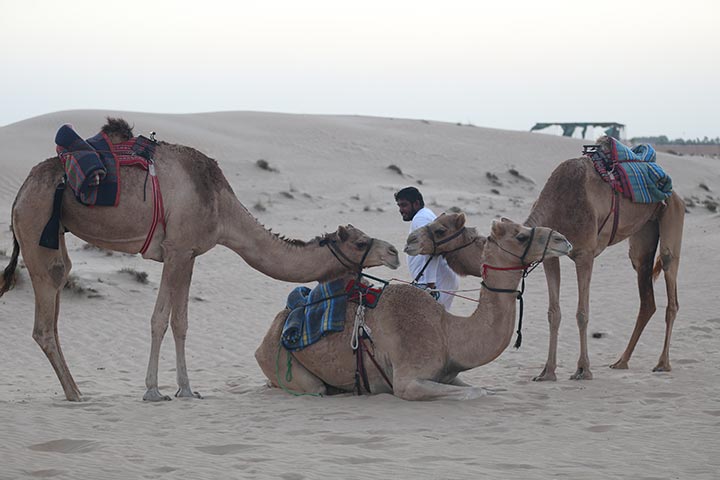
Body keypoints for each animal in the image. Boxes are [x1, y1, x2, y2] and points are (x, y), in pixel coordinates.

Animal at [0, 117, 402, 402]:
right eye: (361, 241)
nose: (394, 252)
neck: (222, 207)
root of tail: (20, 192)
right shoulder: (177, 250)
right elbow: (161, 320)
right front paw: (154, 391)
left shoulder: (187, 254)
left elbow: (180, 322)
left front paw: (185, 389)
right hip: (37, 226)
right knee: (45, 319)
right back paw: (76, 394)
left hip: (54, 234)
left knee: (55, 302)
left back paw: (76, 390)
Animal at [256, 218, 572, 402]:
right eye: (520, 236)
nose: (563, 240)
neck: (448, 333)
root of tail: (269, 333)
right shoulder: (408, 381)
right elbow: (476, 392)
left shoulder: (449, 374)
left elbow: (481, 388)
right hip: (283, 363)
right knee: (311, 387)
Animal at [524, 141, 688, 380]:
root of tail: (676, 194)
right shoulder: (550, 257)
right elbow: (553, 313)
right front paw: (547, 372)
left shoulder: (585, 253)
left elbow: (582, 313)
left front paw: (583, 370)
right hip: (643, 235)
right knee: (646, 293)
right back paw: (621, 361)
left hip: (672, 214)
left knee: (670, 277)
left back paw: (662, 363)